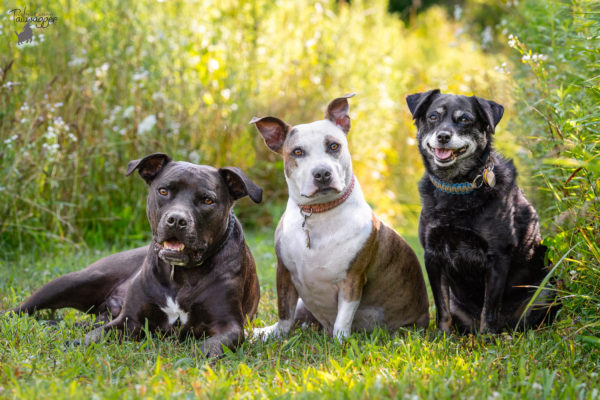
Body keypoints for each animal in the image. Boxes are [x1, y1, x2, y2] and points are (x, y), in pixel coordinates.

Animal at [6, 153, 260, 356]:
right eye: (163, 191)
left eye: (208, 200)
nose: (177, 220)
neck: (180, 275)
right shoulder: (130, 320)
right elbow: (95, 336)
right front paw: (76, 345)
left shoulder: (228, 325)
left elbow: (212, 345)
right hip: (74, 280)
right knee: (21, 310)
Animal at [251, 94, 428, 340]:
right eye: (297, 152)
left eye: (334, 146)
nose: (322, 173)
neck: (318, 212)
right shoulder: (284, 272)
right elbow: (285, 313)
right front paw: (275, 334)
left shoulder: (352, 279)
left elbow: (343, 318)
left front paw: (340, 341)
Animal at [406, 90, 560, 334]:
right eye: (433, 117)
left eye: (464, 119)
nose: (443, 136)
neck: (457, 187)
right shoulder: (432, 255)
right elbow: (441, 306)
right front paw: (441, 335)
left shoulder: (497, 256)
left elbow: (489, 307)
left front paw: (487, 338)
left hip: (546, 291)